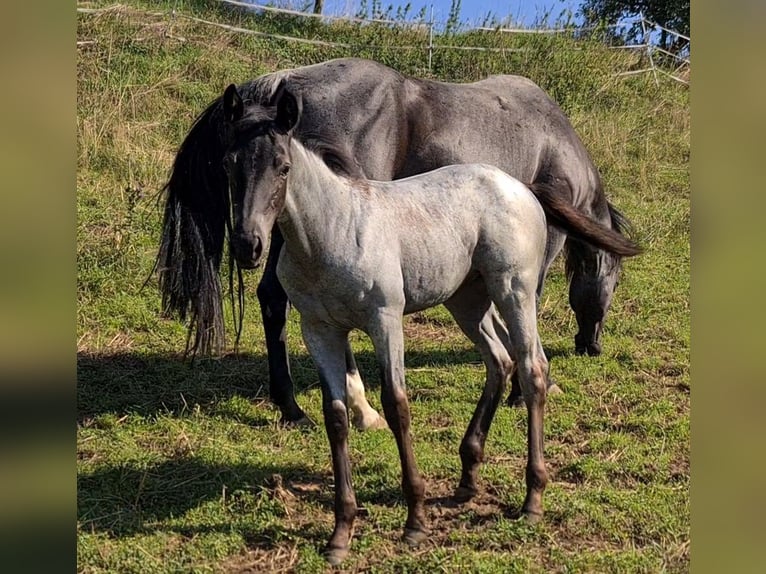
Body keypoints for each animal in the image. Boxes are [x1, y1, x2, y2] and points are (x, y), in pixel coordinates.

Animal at [159, 58, 644, 428]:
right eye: (616, 284)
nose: (591, 345)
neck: (553, 137)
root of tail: (279, 81)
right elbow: (534, 299)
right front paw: (525, 386)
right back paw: (331, 408)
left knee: (273, 299)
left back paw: (295, 405)